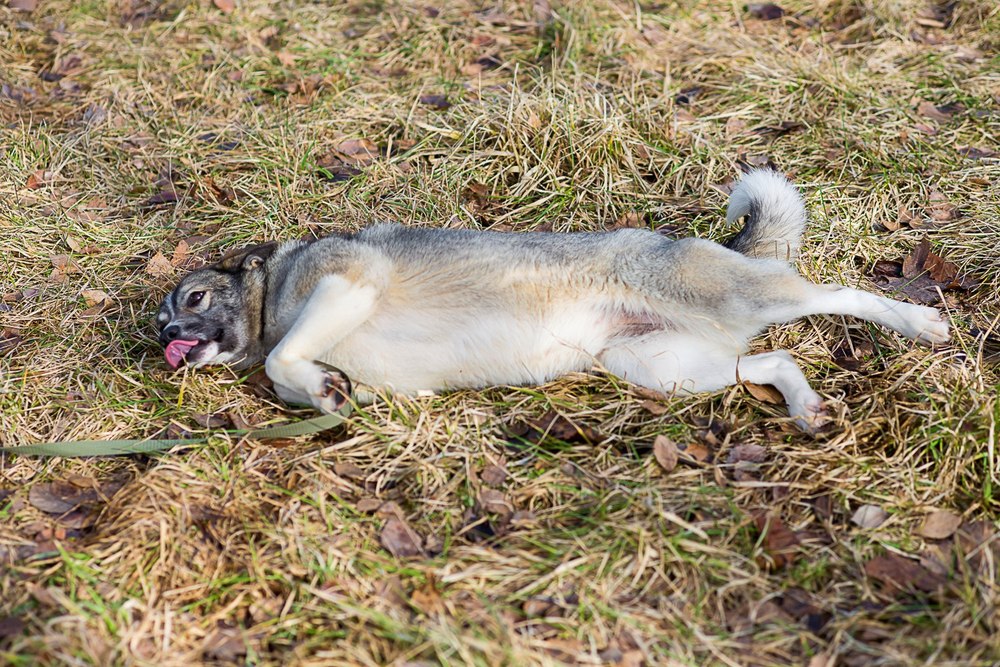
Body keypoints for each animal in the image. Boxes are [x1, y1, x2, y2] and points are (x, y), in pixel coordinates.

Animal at [156, 171, 944, 434]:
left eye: (193, 296)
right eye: (160, 320)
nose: (167, 341)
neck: (269, 295)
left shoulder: (346, 282)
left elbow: (283, 358)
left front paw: (312, 382)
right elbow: (297, 370)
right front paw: (325, 389)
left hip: (735, 296)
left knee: (840, 292)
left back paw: (922, 321)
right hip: (660, 367)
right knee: (775, 361)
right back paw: (807, 408)